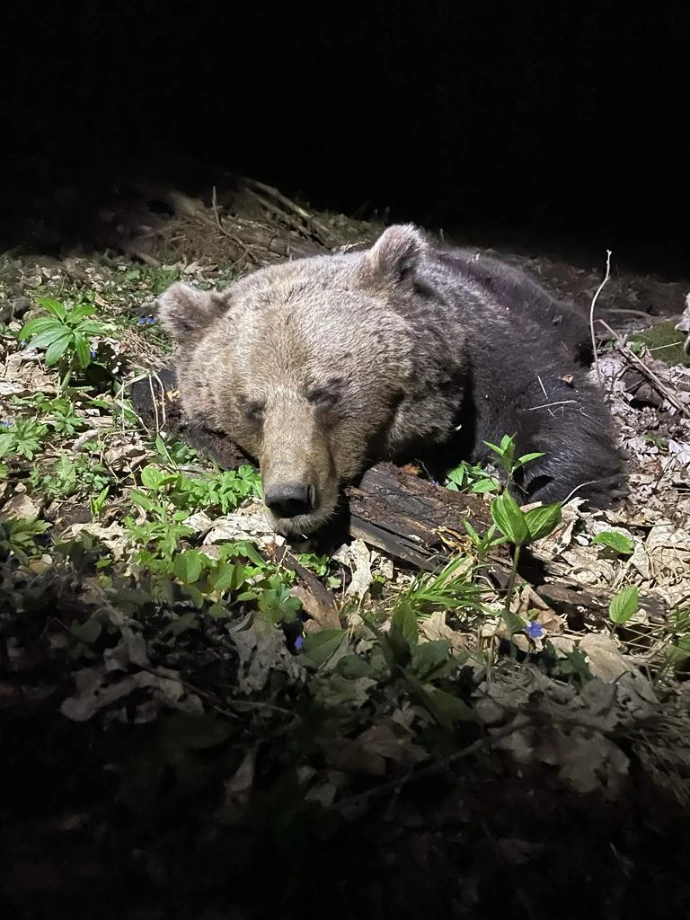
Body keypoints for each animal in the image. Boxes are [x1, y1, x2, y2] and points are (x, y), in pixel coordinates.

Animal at [157, 224, 624, 537]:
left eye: (324, 392)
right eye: (252, 408)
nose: (289, 498)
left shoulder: (490, 350)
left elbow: (549, 403)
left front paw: (559, 486)